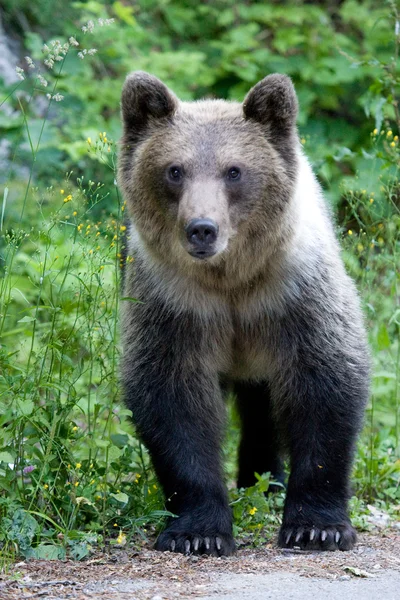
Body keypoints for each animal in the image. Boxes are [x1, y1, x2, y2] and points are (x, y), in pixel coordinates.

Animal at [117, 71, 370, 556]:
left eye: (234, 170)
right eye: (174, 170)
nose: (201, 229)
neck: (231, 280)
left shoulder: (294, 293)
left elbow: (325, 382)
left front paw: (317, 527)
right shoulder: (175, 303)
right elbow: (173, 398)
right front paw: (198, 531)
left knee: (264, 407)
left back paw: (266, 481)